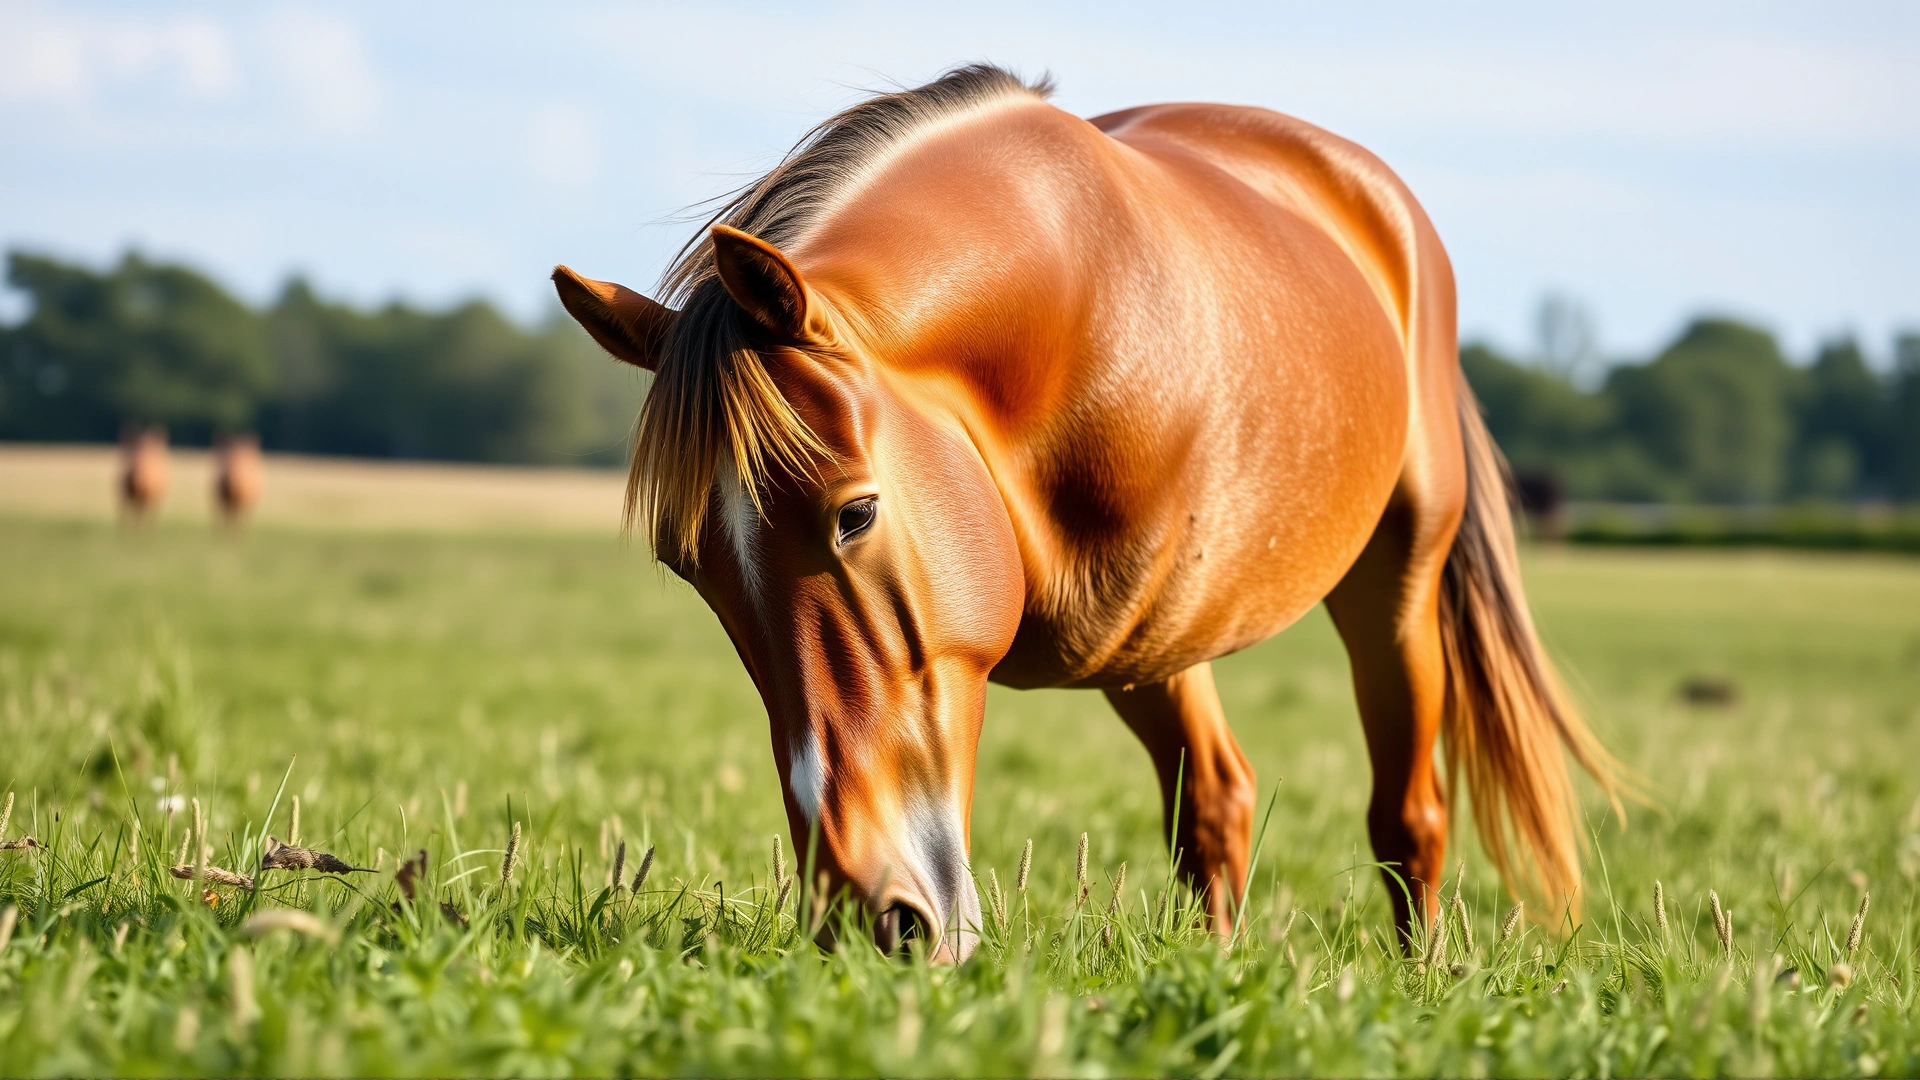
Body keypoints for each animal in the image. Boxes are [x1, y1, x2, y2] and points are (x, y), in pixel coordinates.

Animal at [553, 65, 1619, 962]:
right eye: (692, 567)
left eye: (854, 515)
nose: (869, 920)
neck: (1063, 318)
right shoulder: (1144, 631)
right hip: (1166, 647)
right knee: (1221, 802)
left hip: (1396, 578)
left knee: (1409, 815)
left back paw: (1417, 974)